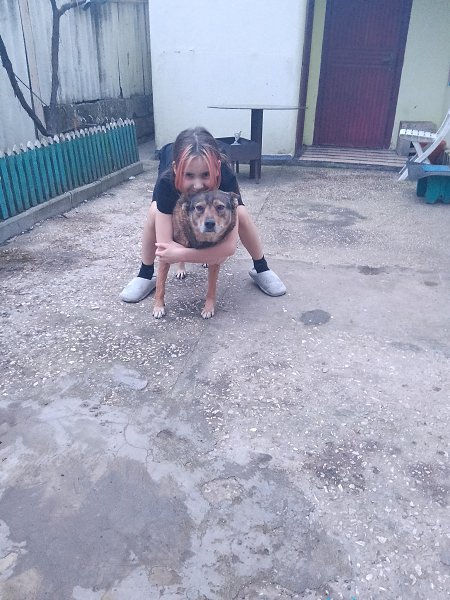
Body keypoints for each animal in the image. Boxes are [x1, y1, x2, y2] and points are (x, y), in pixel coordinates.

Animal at [153, 190, 239, 319]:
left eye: (220, 207)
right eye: (199, 207)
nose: (209, 223)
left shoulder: (215, 260)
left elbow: (211, 288)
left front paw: (208, 308)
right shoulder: (165, 253)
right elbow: (160, 285)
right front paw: (158, 307)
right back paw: (181, 270)